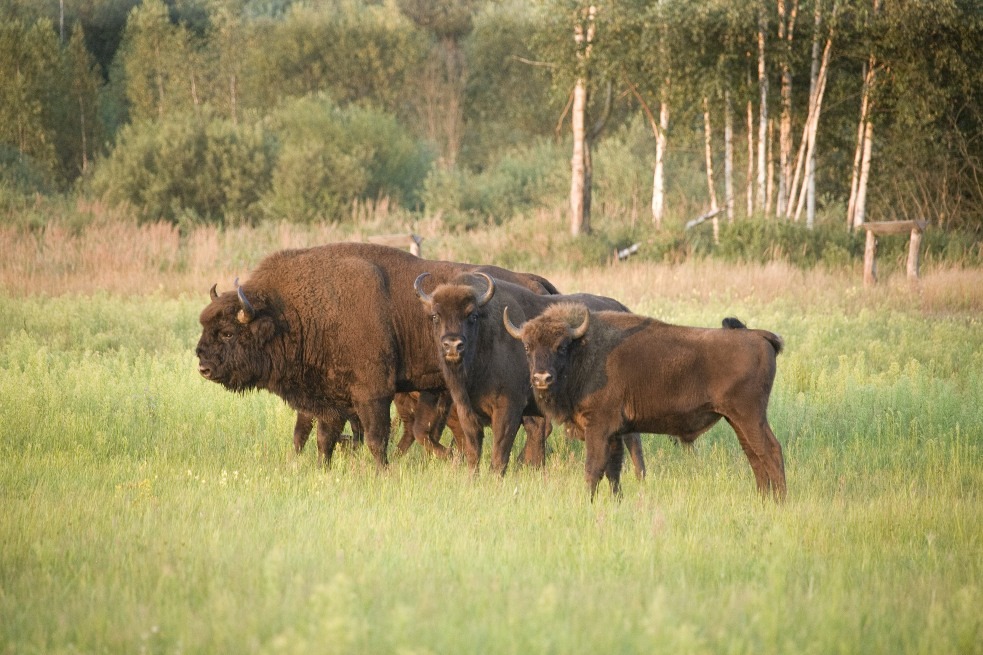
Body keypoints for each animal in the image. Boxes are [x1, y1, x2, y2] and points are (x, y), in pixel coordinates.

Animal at [196, 243, 556, 468]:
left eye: (227, 332)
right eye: (205, 326)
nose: (203, 365)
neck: (293, 312)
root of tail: (535, 284)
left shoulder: (373, 393)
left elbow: (375, 438)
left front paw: (382, 471)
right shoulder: (330, 399)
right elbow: (323, 439)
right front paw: (322, 469)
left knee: (534, 426)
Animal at [414, 270, 644, 480]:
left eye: (472, 315)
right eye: (435, 316)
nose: (452, 345)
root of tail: (622, 309)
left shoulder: (509, 408)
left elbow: (500, 451)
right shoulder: (466, 409)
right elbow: (473, 451)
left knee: (633, 439)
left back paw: (639, 476)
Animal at [504, 304, 788, 502]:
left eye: (561, 346)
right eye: (527, 347)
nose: (542, 378)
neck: (583, 350)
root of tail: (759, 336)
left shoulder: (599, 427)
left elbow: (593, 468)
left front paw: (588, 502)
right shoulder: (615, 433)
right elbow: (613, 470)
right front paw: (616, 502)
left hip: (750, 416)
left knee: (770, 451)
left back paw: (779, 502)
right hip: (737, 419)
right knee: (754, 455)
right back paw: (763, 500)